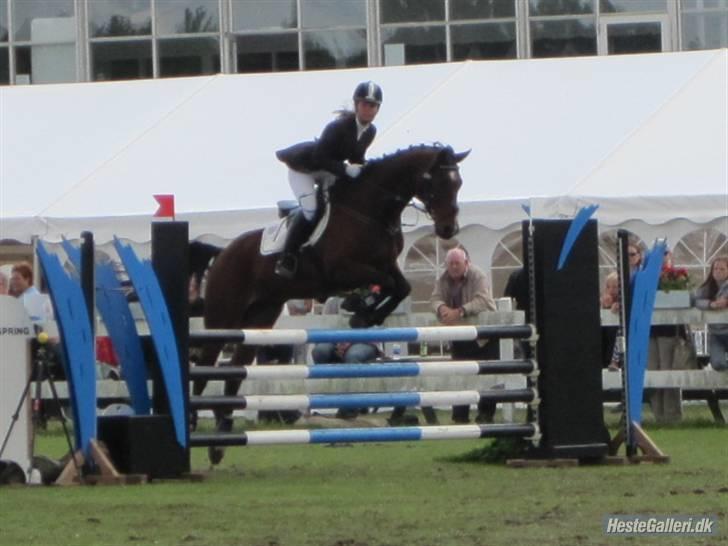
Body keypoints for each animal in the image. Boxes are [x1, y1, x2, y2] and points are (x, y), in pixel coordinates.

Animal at [196, 143, 470, 460]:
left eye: (458, 184)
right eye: (436, 182)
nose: (449, 230)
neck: (371, 210)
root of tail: (222, 253)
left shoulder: (387, 265)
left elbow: (401, 286)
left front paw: (365, 315)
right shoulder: (343, 271)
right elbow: (386, 284)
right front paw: (360, 310)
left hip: (260, 318)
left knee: (234, 372)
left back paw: (220, 439)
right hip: (223, 317)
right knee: (204, 367)